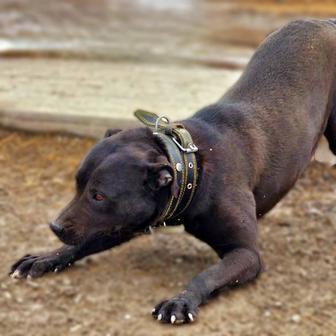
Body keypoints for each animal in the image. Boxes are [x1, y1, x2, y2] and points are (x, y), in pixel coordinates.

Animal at [9, 19, 336, 324]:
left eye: (99, 196)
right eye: (77, 185)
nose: (54, 226)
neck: (191, 166)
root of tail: (322, 22)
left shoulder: (246, 254)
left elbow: (207, 274)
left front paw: (181, 301)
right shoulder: (123, 222)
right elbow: (81, 244)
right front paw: (44, 257)